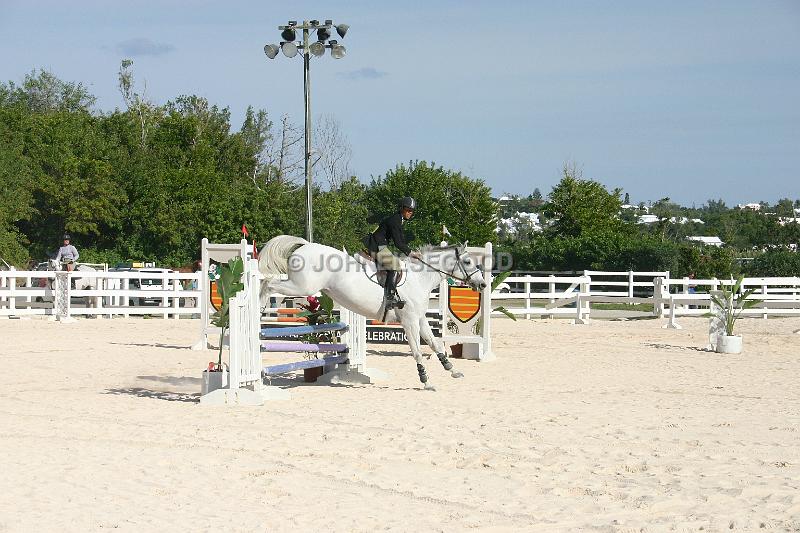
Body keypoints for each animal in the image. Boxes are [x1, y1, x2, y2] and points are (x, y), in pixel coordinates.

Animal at [262, 235, 488, 388]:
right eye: (468, 262)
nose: (483, 284)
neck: (419, 277)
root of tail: (306, 245)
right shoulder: (409, 321)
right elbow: (416, 350)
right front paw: (425, 381)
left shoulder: (420, 319)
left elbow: (435, 344)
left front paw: (453, 370)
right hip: (301, 287)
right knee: (269, 284)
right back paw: (260, 306)